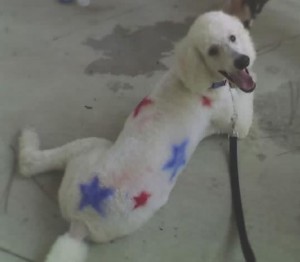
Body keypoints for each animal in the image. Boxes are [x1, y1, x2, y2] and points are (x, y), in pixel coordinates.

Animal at [18, 10, 256, 262]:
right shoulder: (237, 123)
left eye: (233, 37)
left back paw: (27, 139)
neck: (191, 78)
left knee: (30, 164)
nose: (243, 60)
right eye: (212, 50)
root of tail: (81, 221)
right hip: (100, 153)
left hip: (79, 159)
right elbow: (245, 104)